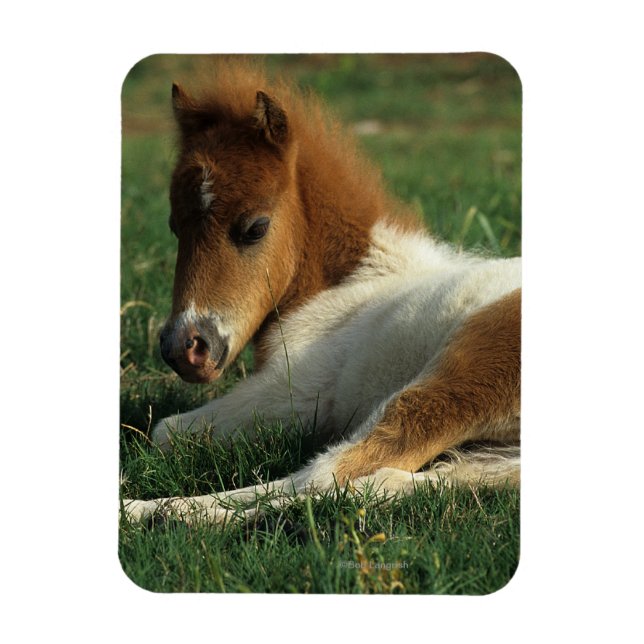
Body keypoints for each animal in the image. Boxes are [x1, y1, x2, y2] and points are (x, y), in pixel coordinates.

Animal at [122, 61, 521, 524]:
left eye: (255, 227)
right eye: (174, 226)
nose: (184, 348)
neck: (353, 281)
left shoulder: (291, 394)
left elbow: (165, 432)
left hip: (459, 382)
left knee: (328, 472)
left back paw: (153, 511)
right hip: (502, 458)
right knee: (384, 482)